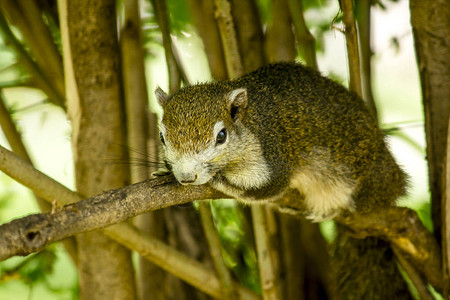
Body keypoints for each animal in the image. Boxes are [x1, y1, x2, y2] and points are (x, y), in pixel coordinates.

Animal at [156, 62, 414, 298]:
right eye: (161, 137)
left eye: (221, 136)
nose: (187, 177)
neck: (250, 123)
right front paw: (166, 173)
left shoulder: (274, 156)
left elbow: (264, 189)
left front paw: (217, 179)